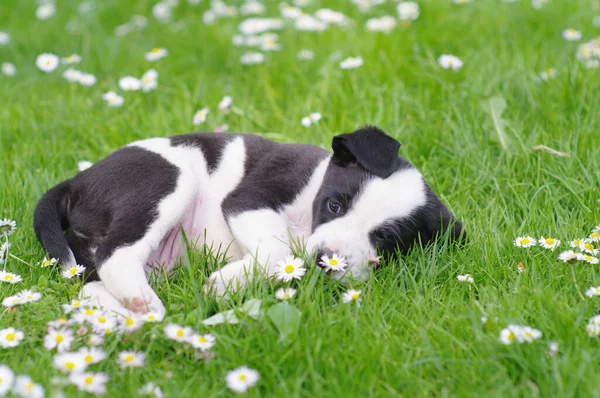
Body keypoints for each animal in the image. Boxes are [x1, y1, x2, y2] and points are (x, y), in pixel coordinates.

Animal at [34, 127, 464, 318]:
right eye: (336, 205)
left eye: (385, 238)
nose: (327, 260)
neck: (313, 188)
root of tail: (76, 181)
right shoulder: (248, 199)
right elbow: (279, 250)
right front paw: (225, 284)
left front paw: (230, 284)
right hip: (171, 179)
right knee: (114, 255)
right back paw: (141, 300)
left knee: (91, 284)